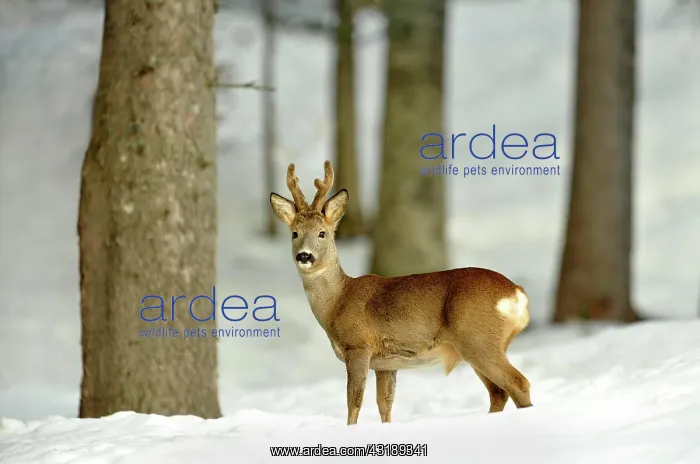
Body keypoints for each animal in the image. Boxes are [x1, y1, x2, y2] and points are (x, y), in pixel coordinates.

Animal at [269, 160, 533, 425]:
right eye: (295, 233)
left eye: (322, 233)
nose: (304, 255)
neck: (337, 301)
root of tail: (517, 293)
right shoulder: (385, 362)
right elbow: (384, 404)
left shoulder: (358, 346)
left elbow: (354, 403)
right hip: (478, 345)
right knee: (498, 392)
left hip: (478, 337)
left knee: (518, 383)